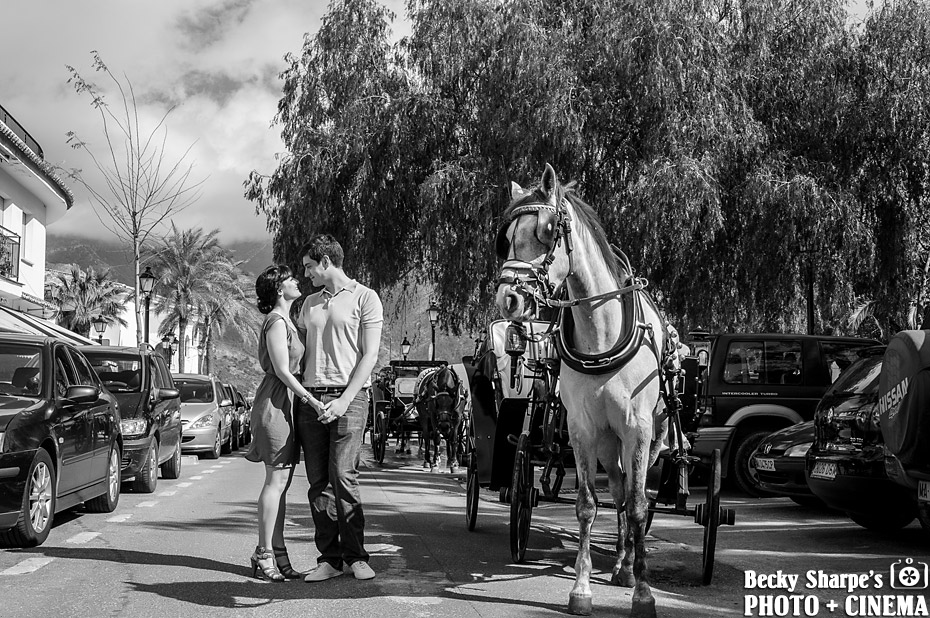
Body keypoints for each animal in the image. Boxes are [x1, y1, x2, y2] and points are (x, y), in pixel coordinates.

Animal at [496, 164, 664, 616]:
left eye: (546, 230)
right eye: (506, 236)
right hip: (608, 443)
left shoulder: (638, 429)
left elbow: (640, 506)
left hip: (650, 440)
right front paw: (582, 589)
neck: (601, 335)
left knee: (635, 497)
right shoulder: (583, 430)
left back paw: (629, 568)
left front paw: (644, 593)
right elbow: (589, 506)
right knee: (619, 492)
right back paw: (621, 564)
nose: (508, 298)